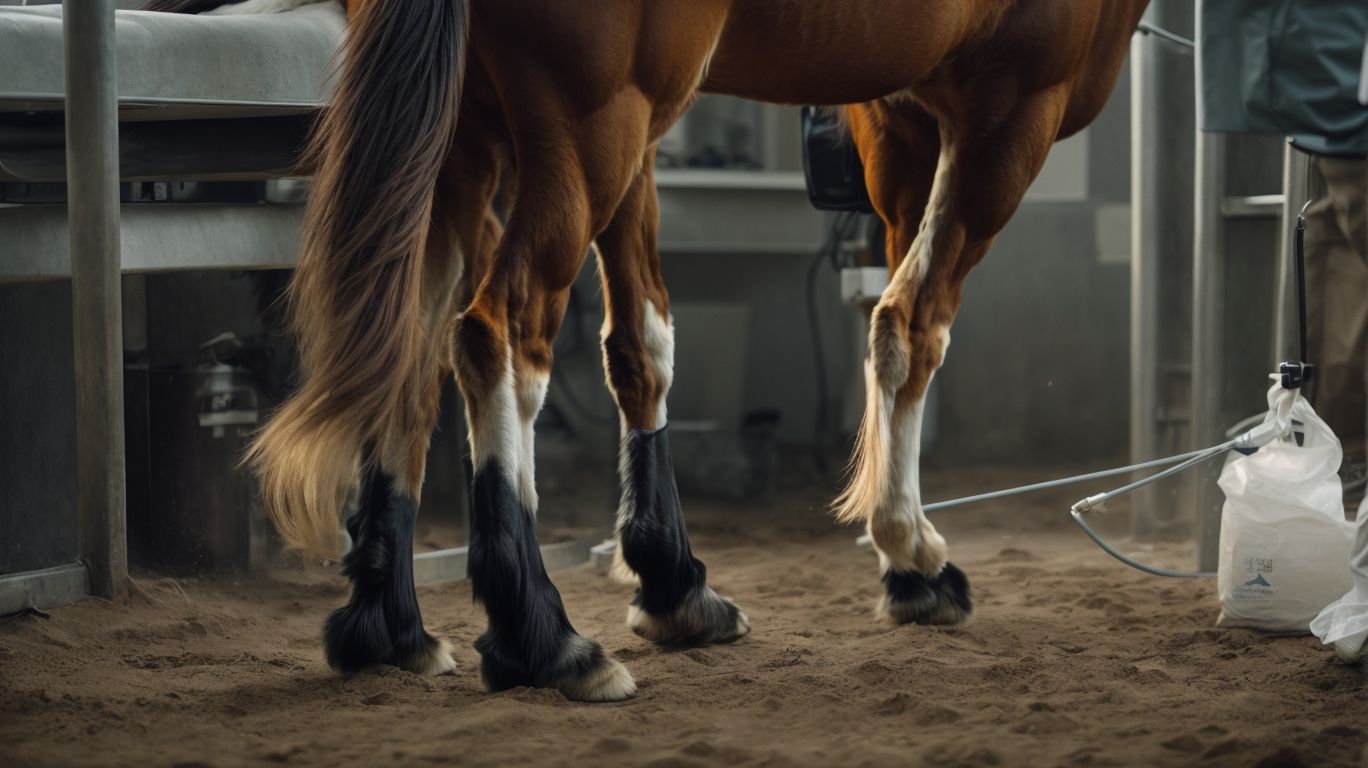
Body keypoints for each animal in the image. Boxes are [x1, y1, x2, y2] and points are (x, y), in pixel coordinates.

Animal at [149, 0, 1150, 700]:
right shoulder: (1009, 108)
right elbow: (911, 323)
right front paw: (913, 559)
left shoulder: (887, 116)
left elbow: (643, 343)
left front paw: (672, 583)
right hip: (588, 125)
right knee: (499, 334)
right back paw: (543, 638)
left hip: (486, 136)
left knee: (411, 342)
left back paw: (388, 628)